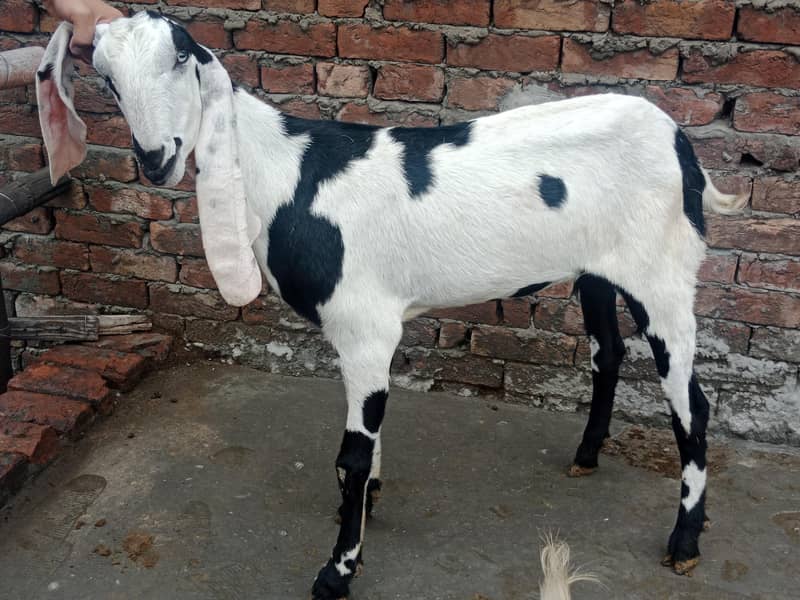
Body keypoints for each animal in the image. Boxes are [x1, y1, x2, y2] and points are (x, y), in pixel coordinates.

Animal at [37, 12, 746, 599]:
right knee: (608, 353)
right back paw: (587, 455)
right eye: (106, 78)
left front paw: (338, 570)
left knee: (691, 404)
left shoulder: (365, 325)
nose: (155, 158)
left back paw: (685, 541)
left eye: (180, 57)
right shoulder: (359, 336)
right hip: (598, 270)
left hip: (663, 276)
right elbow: (363, 438)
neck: (289, 175)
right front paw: (364, 505)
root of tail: (680, 141)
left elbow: (351, 451)